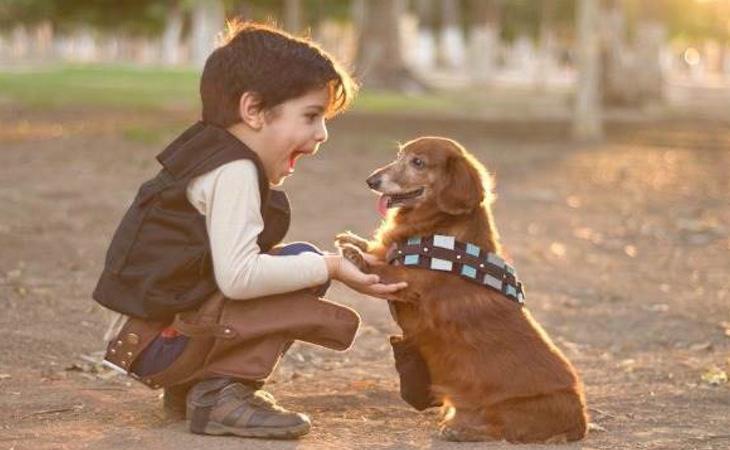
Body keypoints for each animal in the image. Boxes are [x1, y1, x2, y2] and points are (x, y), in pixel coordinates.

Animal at [336, 137, 584, 442]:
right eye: (399, 155)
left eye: (418, 162)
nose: (371, 180)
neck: (439, 230)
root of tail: (581, 421)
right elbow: (379, 251)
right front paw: (355, 241)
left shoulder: (408, 282)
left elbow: (382, 269)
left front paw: (355, 255)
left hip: (511, 408)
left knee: (498, 428)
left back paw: (461, 430)